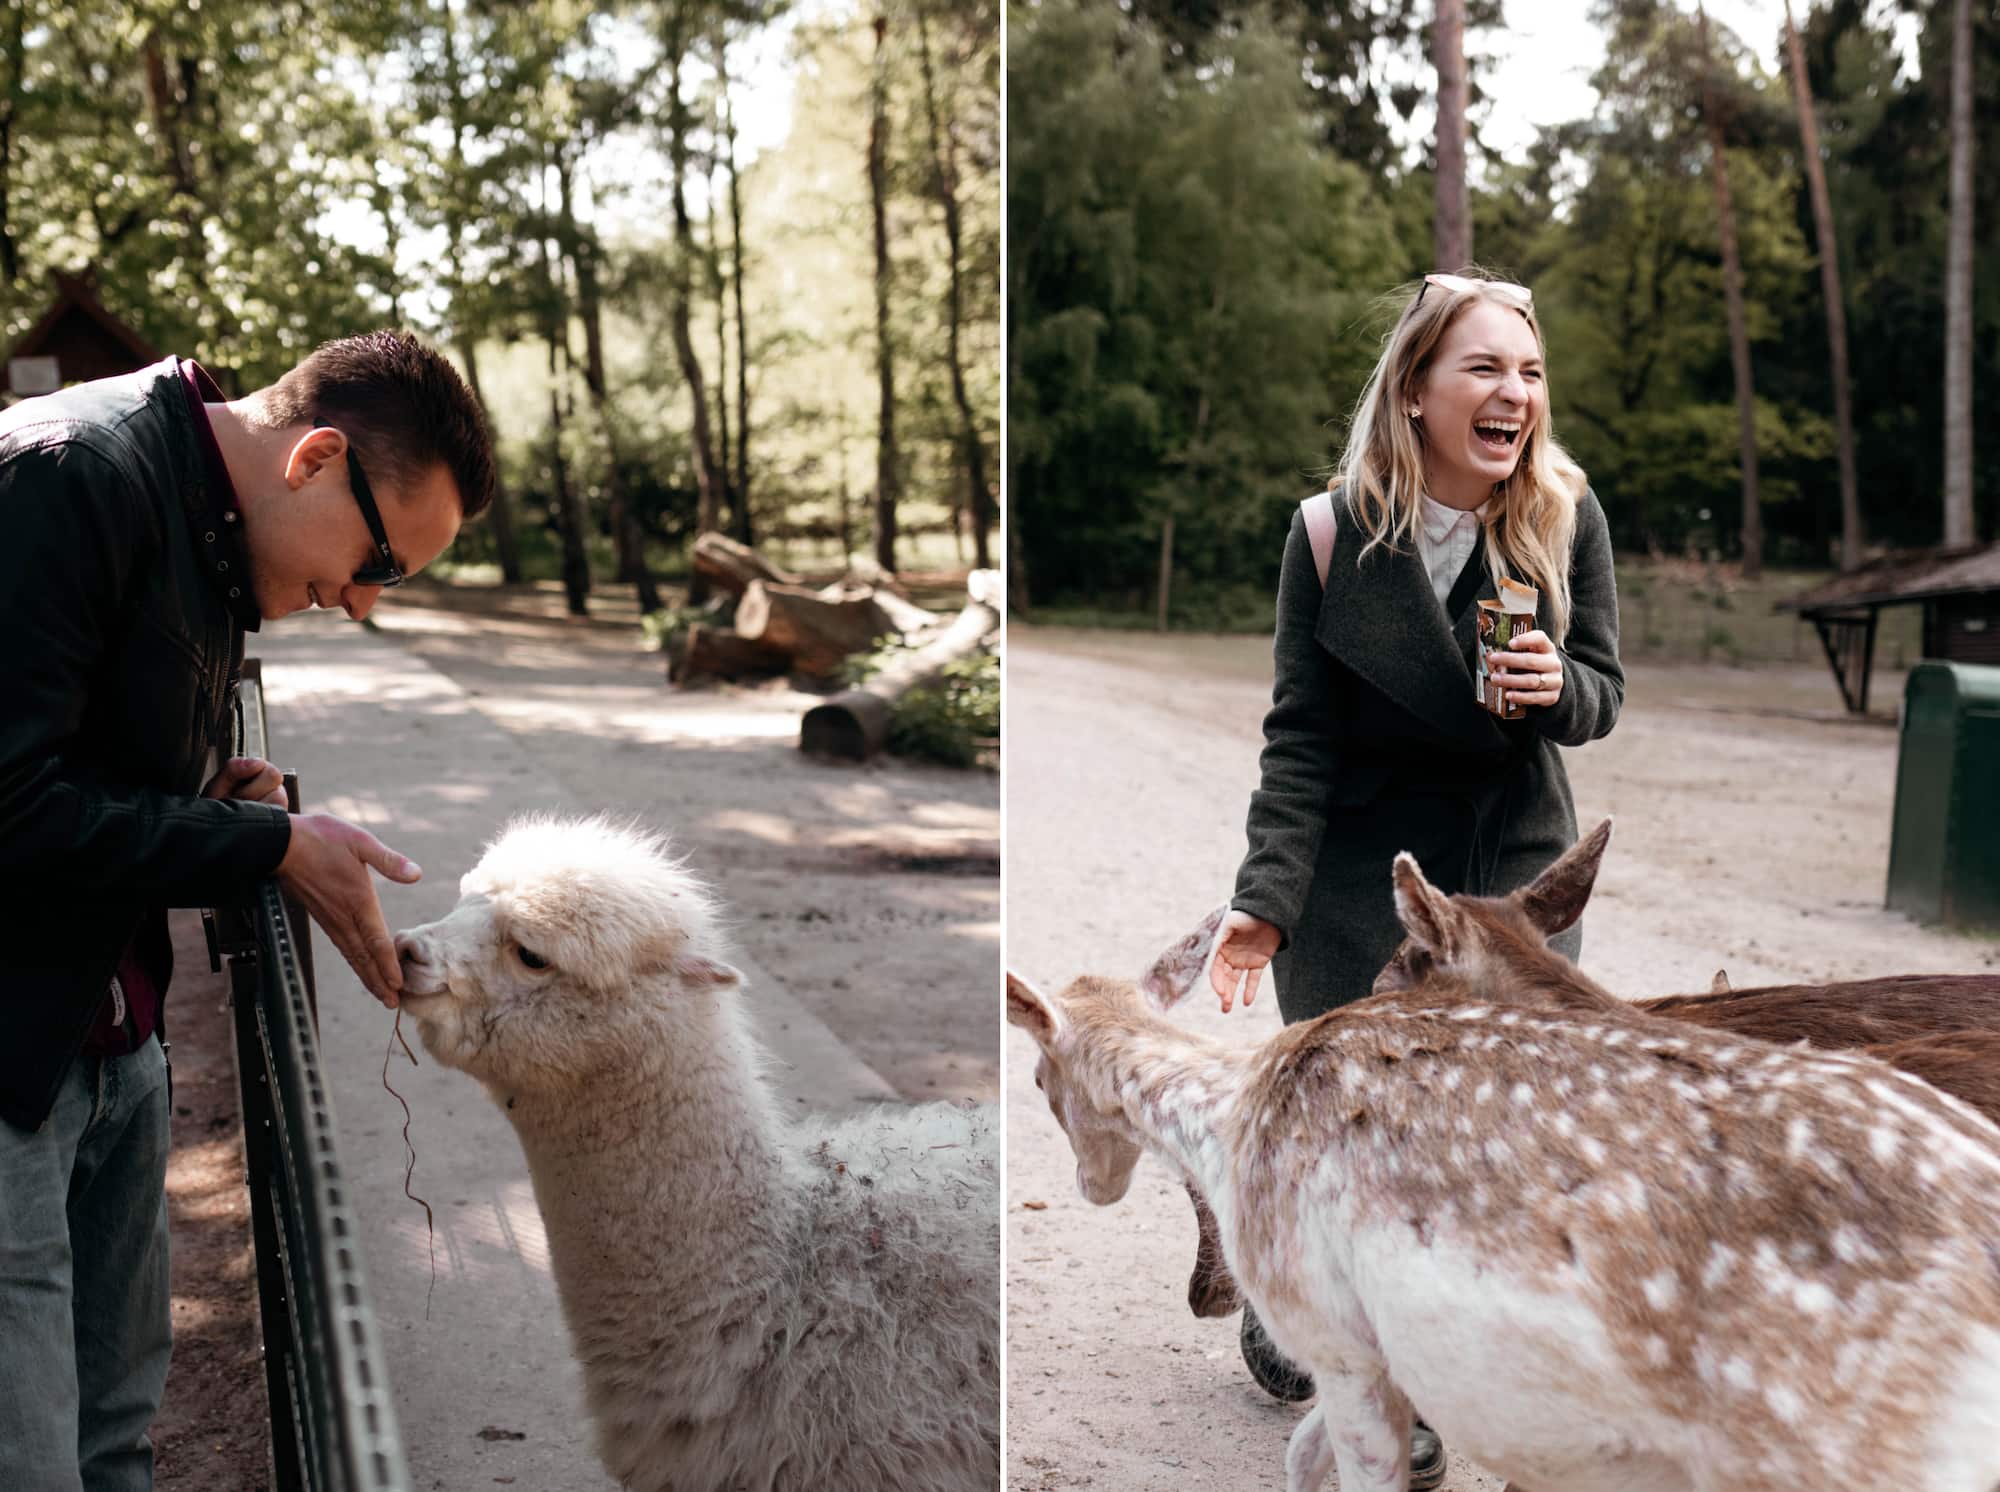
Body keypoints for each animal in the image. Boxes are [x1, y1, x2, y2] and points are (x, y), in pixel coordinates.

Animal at [1008, 844, 2000, 1480]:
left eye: (1037, 1074)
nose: (1088, 1187)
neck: (1231, 1116)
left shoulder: (1332, 1334)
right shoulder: (1381, 1351)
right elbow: (1303, 1453)